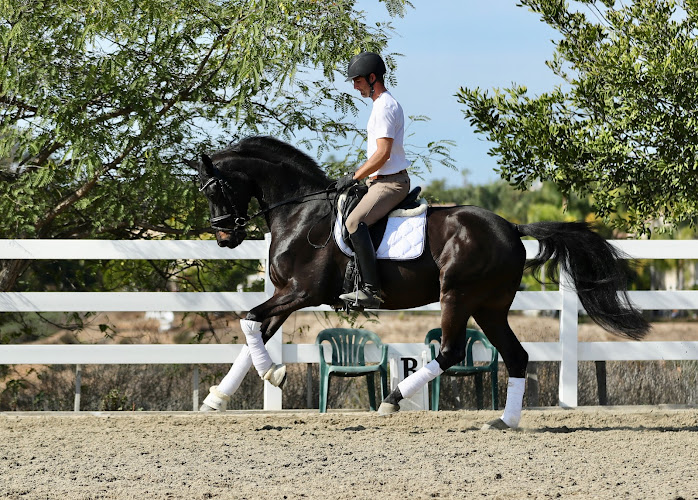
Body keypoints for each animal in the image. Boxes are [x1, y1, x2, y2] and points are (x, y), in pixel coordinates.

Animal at [192, 135, 649, 428]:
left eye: (215, 189)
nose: (224, 237)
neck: (301, 213)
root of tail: (511, 227)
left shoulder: (301, 292)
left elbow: (249, 322)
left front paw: (274, 375)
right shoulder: (287, 295)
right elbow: (252, 333)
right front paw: (220, 397)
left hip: (457, 296)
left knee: (450, 351)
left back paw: (393, 400)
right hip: (490, 307)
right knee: (516, 356)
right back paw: (505, 421)